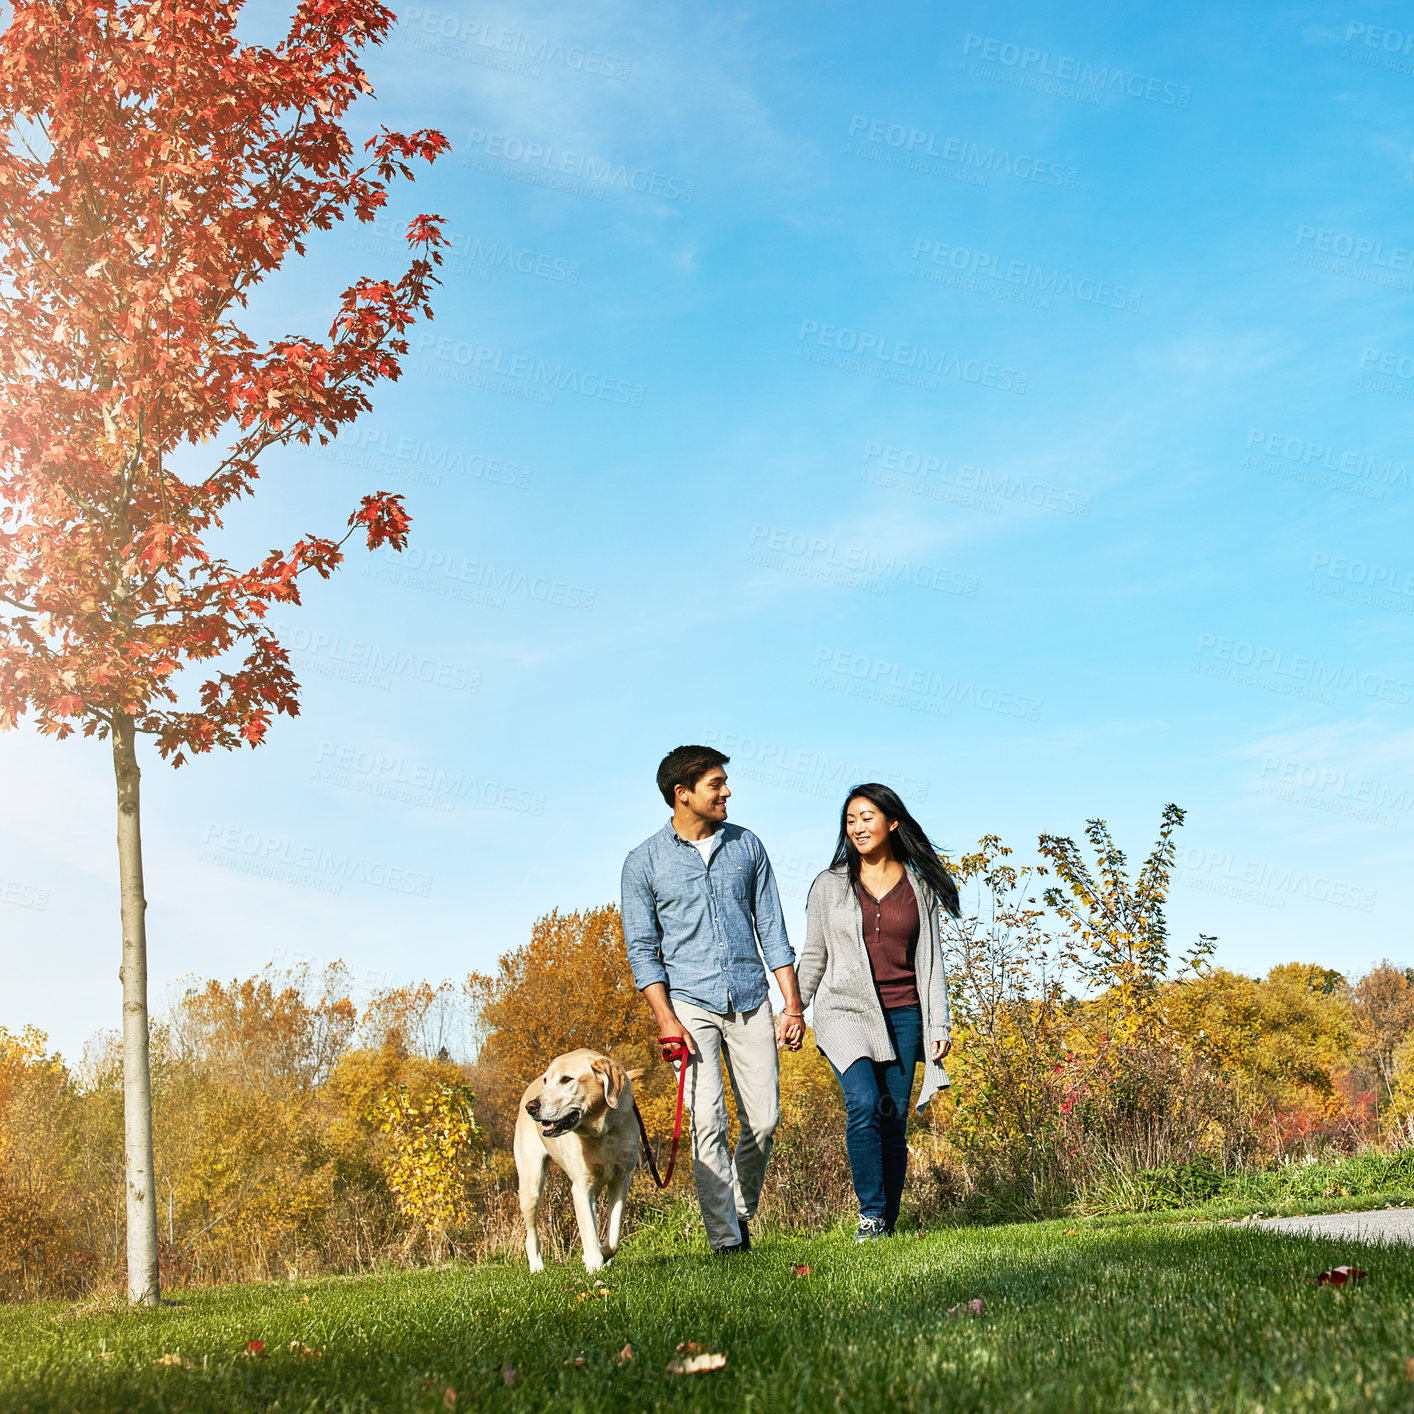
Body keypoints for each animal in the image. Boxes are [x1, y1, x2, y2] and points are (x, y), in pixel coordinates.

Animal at [517, 1052, 644, 1272]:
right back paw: (537, 1267)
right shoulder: (581, 1187)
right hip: (531, 1185)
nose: (531, 1107)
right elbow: (589, 1231)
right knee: (531, 1235)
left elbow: (613, 1239)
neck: (602, 1133)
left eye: (566, 1079)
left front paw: (600, 1255)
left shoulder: (621, 1180)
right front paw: (594, 1264)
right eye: (546, 1081)